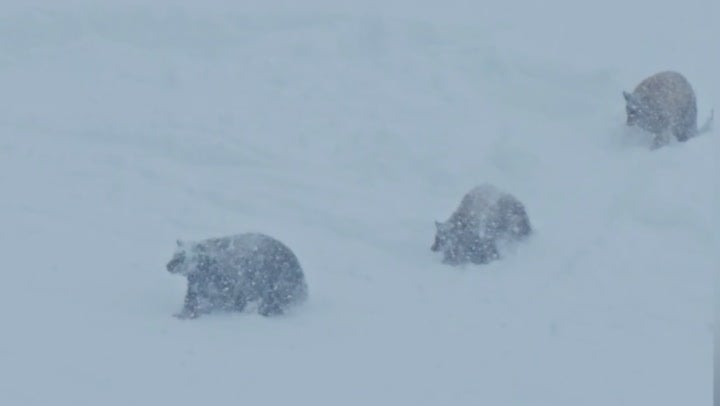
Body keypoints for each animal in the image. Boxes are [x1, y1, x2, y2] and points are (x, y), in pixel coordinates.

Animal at [166, 233, 308, 319]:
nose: (168, 265)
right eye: (175, 254)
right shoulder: (197, 283)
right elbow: (192, 300)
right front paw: (184, 313)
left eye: (181, 256)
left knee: (275, 299)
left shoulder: (229, 281)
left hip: (279, 280)